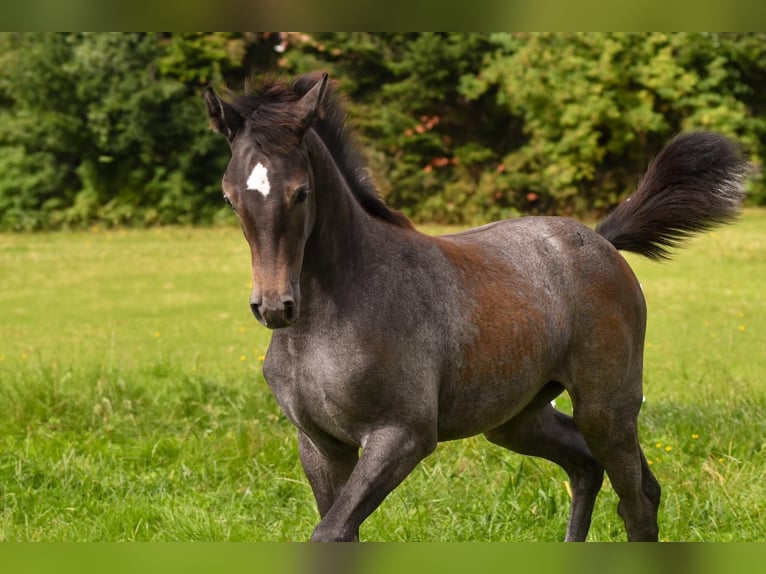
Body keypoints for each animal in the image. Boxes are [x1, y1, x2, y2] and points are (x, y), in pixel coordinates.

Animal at [203, 71, 749, 541]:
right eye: (231, 198)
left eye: (301, 193)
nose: (274, 307)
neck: (333, 315)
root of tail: (601, 240)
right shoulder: (320, 446)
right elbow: (341, 532)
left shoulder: (401, 436)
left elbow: (330, 531)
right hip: (518, 419)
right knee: (588, 468)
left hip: (607, 408)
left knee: (637, 500)